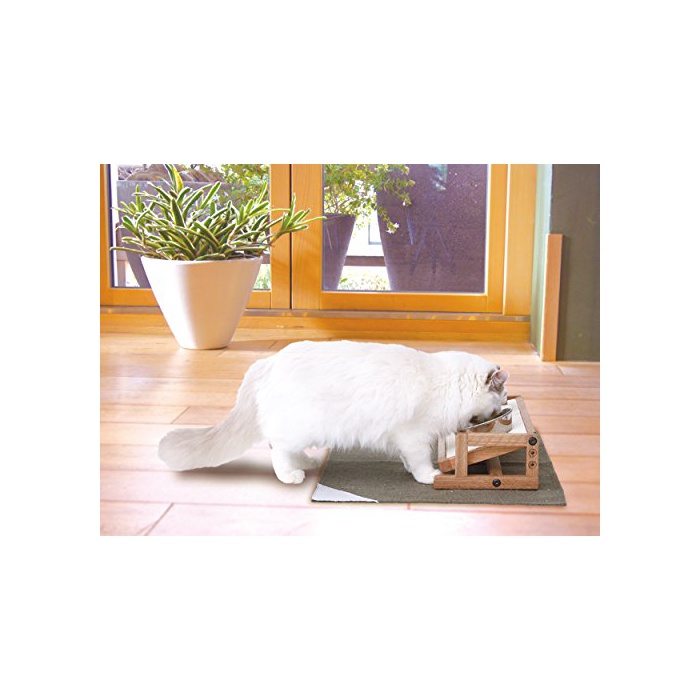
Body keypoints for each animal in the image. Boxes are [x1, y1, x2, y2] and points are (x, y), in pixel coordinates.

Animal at [158, 340, 509, 485]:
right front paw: (428, 476)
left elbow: (408, 460)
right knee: (277, 452)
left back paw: (309, 463)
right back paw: (291, 476)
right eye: (502, 397)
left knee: (286, 449)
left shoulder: (405, 438)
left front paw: (411, 471)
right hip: (299, 427)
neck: (448, 383)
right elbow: (421, 460)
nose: (505, 409)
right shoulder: (414, 434)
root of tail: (268, 362)